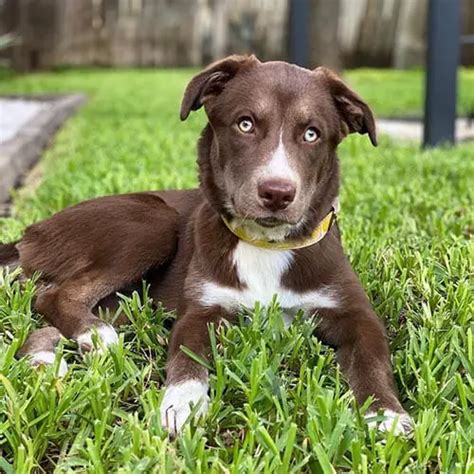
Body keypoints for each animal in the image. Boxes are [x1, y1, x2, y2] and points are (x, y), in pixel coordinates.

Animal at [0, 55, 412, 436]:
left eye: (312, 134)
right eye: (245, 124)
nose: (277, 193)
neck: (266, 245)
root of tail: (30, 231)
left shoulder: (356, 313)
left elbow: (373, 361)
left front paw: (387, 415)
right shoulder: (202, 309)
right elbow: (187, 353)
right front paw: (181, 404)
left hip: (127, 300)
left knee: (44, 317)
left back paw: (47, 361)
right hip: (153, 222)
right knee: (53, 295)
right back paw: (95, 337)